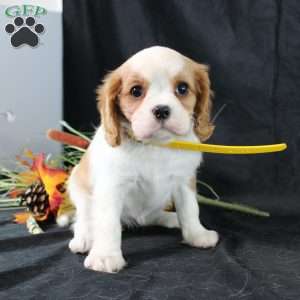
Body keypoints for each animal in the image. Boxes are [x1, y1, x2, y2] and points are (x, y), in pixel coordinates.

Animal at [67, 45, 218, 274]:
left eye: (182, 88)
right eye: (136, 91)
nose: (162, 109)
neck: (155, 145)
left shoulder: (184, 180)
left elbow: (190, 208)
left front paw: (196, 235)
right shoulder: (111, 186)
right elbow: (107, 222)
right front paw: (105, 256)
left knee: (151, 217)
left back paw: (170, 218)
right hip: (78, 185)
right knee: (84, 216)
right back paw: (84, 238)